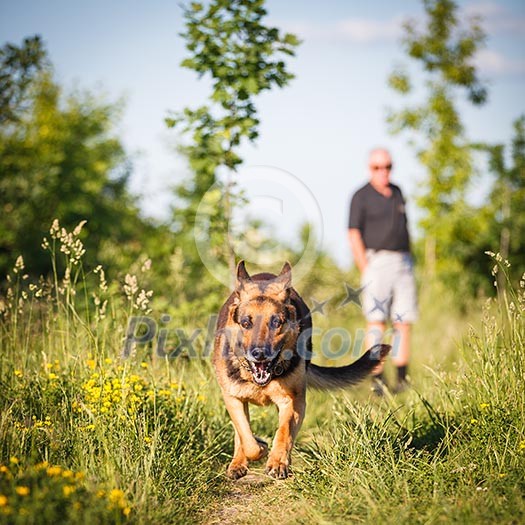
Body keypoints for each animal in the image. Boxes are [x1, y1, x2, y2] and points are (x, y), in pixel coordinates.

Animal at [212, 260, 388, 476]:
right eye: (246, 322)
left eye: (276, 322)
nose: (260, 353)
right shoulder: (233, 399)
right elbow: (247, 438)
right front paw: (259, 447)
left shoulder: (293, 401)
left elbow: (284, 432)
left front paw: (277, 462)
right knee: (241, 434)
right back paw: (238, 463)